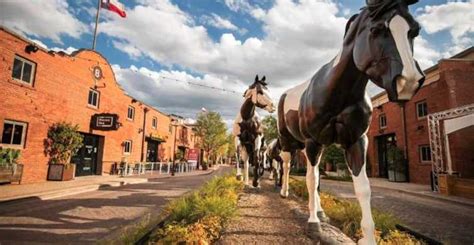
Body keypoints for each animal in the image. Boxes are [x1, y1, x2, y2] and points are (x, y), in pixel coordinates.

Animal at [276, 0, 424, 244]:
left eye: (414, 30)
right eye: (376, 30)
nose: (408, 82)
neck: (336, 92)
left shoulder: (356, 141)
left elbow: (361, 188)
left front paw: (368, 237)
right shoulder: (313, 142)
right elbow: (310, 179)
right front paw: (313, 223)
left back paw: (320, 211)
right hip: (290, 143)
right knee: (288, 166)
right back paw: (285, 192)